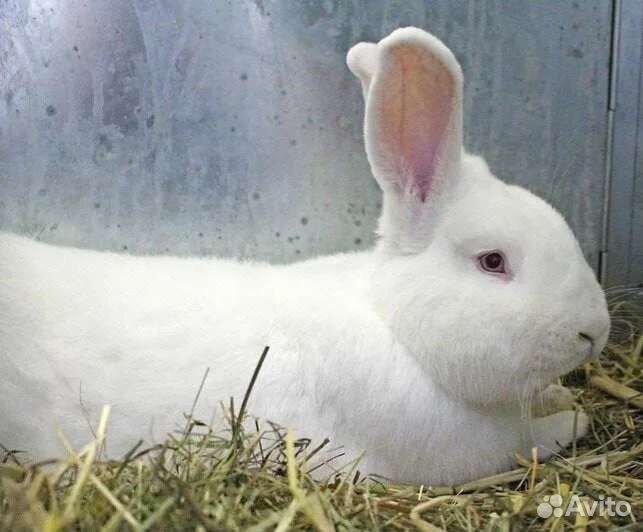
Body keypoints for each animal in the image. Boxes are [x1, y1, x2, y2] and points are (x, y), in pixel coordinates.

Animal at [0, 27, 610, 485]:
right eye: (492, 262)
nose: (595, 331)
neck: (397, 329)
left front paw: (561, 394)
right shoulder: (467, 448)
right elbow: (531, 440)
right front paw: (577, 418)